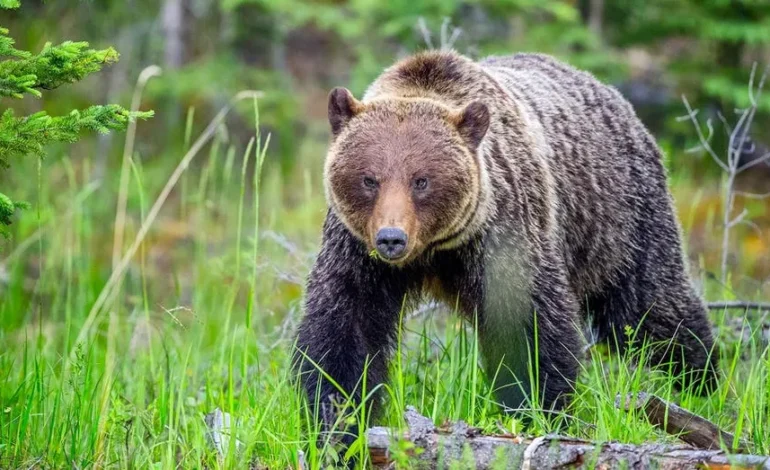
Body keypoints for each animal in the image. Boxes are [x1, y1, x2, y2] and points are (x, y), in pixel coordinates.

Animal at [294, 50, 718, 447]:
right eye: (369, 179)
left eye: (421, 180)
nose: (391, 238)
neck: (436, 251)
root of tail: (609, 92)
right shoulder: (357, 253)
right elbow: (343, 332)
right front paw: (337, 425)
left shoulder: (505, 232)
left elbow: (530, 328)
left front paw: (540, 411)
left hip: (619, 218)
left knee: (650, 308)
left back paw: (700, 384)